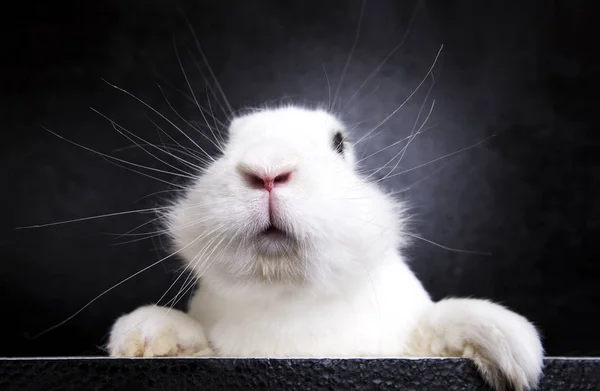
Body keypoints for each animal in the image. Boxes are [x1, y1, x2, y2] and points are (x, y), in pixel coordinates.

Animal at [108, 105, 544, 390]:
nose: (268, 171)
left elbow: (437, 323)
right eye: (224, 146)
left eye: (339, 144)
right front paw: (146, 336)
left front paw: (513, 349)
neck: (288, 296)